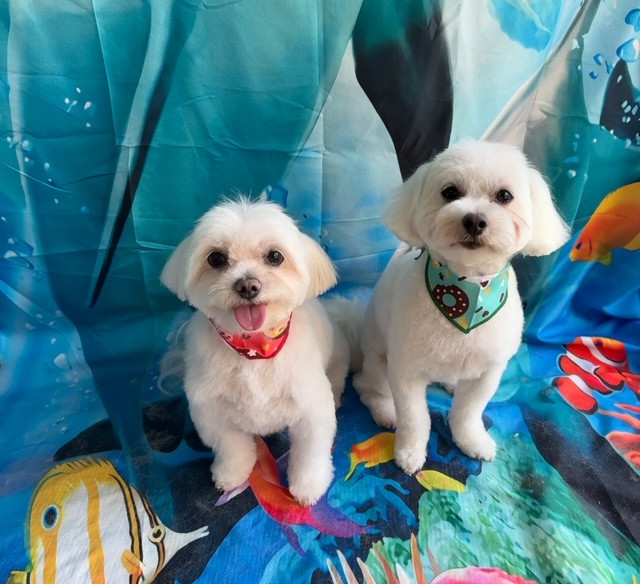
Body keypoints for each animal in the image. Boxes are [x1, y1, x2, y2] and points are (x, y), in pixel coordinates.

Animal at [161, 197, 349, 506]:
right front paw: (232, 473)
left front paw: (308, 486)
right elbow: (231, 446)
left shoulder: (311, 408)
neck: (254, 348)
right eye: (216, 258)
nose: (247, 285)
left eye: (275, 256)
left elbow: (310, 452)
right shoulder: (210, 410)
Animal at [353, 139, 570, 474]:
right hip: (377, 359)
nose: (475, 220)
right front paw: (409, 453)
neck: (468, 292)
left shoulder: (489, 371)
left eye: (504, 196)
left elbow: (469, 412)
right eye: (450, 192)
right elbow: (415, 418)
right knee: (368, 386)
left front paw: (471, 440)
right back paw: (385, 411)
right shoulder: (405, 371)